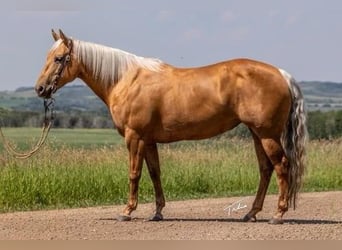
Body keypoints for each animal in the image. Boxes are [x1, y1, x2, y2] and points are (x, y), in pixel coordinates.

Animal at [35, 29, 308, 225]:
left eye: (58, 58)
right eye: (47, 57)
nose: (40, 88)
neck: (126, 79)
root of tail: (282, 75)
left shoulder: (134, 137)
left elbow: (134, 174)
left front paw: (127, 211)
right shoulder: (149, 140)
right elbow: (155, 173)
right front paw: (157, 212)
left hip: (267, 135)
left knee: (282, 167)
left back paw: (278, 215)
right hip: (257, 134)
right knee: (266, 170)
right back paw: (251, 213)